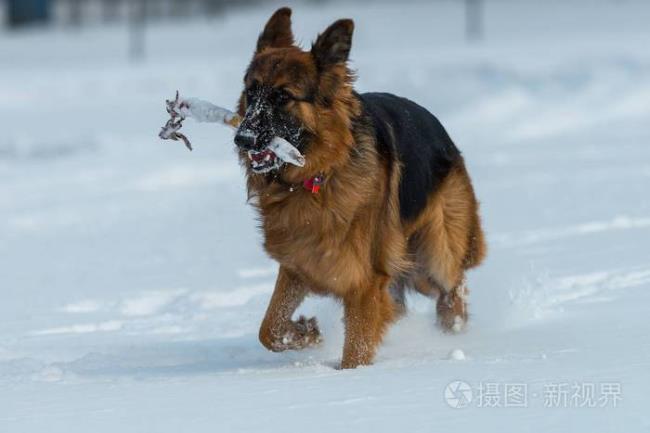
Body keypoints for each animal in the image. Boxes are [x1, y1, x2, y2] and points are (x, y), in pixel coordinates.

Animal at [235, 7, 484, 368]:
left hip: (434, 253)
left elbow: (357, 350)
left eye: (283, 97)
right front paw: (306, 333)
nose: (242, 139)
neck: (316, 177)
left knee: (453, 286)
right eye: (251, 93)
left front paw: (351, 375)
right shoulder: (299, 265)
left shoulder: (365, 283)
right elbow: (269, 328)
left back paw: (452, 331)